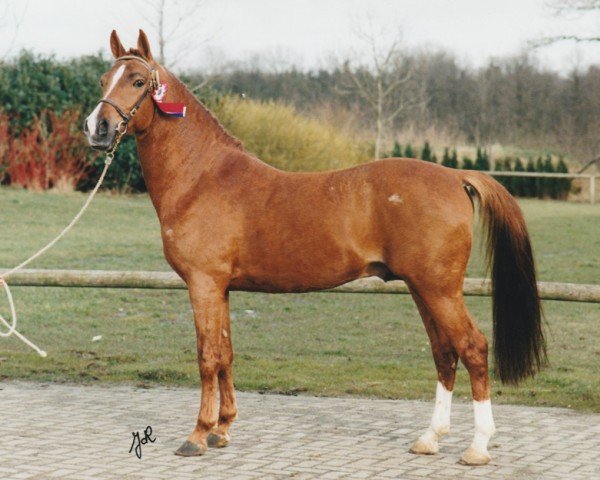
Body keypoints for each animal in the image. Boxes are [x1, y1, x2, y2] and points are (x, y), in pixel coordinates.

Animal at [85, 30, 548, 464]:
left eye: (138, 81)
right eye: (104, 79)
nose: (96, 128)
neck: (203, 178)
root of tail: (454, 176)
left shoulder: (203, 284)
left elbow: (207, 356)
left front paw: (197, 435)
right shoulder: (221, 289)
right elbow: (227, 354)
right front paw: (223, 429)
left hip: (440, 290)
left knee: (473, 348)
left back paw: (478, 446)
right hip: (424, 289)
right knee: (444, 352)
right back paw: (429, 438)